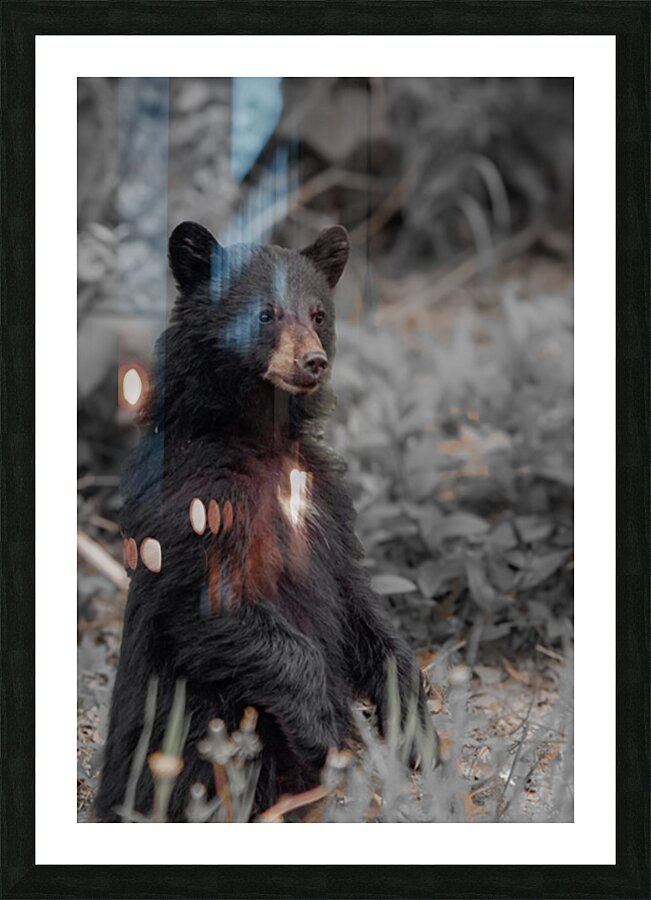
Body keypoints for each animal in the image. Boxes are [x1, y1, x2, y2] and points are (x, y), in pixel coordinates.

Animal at [95, 222, 431, 822]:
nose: (313, 361)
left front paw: (413, 723)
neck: (260, 439)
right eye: (266, 314)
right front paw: (332, 730)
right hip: (194, 726)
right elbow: (209, 604)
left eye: (318, 314)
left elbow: (358, 599)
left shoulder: (326, 504)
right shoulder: (195, 499)